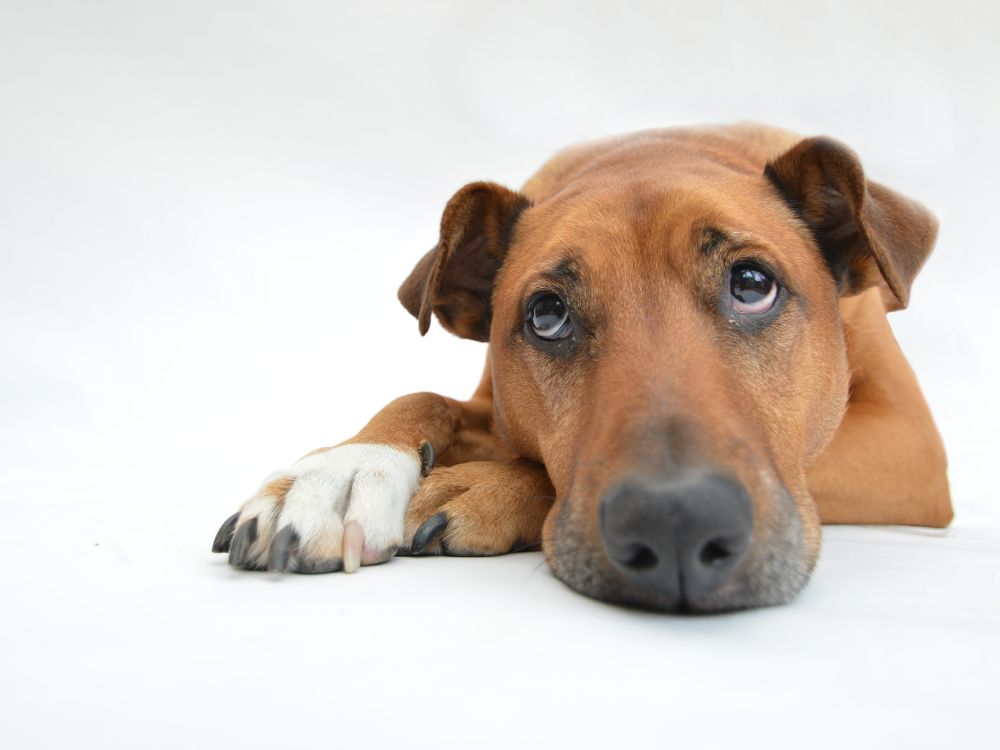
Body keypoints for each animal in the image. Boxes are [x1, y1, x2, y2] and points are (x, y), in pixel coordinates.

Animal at [213, 125, 952, 616]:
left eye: (752, 284)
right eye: (546, 315)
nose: (676, 523)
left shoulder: (909, 443)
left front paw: (489, 488)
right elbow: (422, 395)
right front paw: (341, 473)